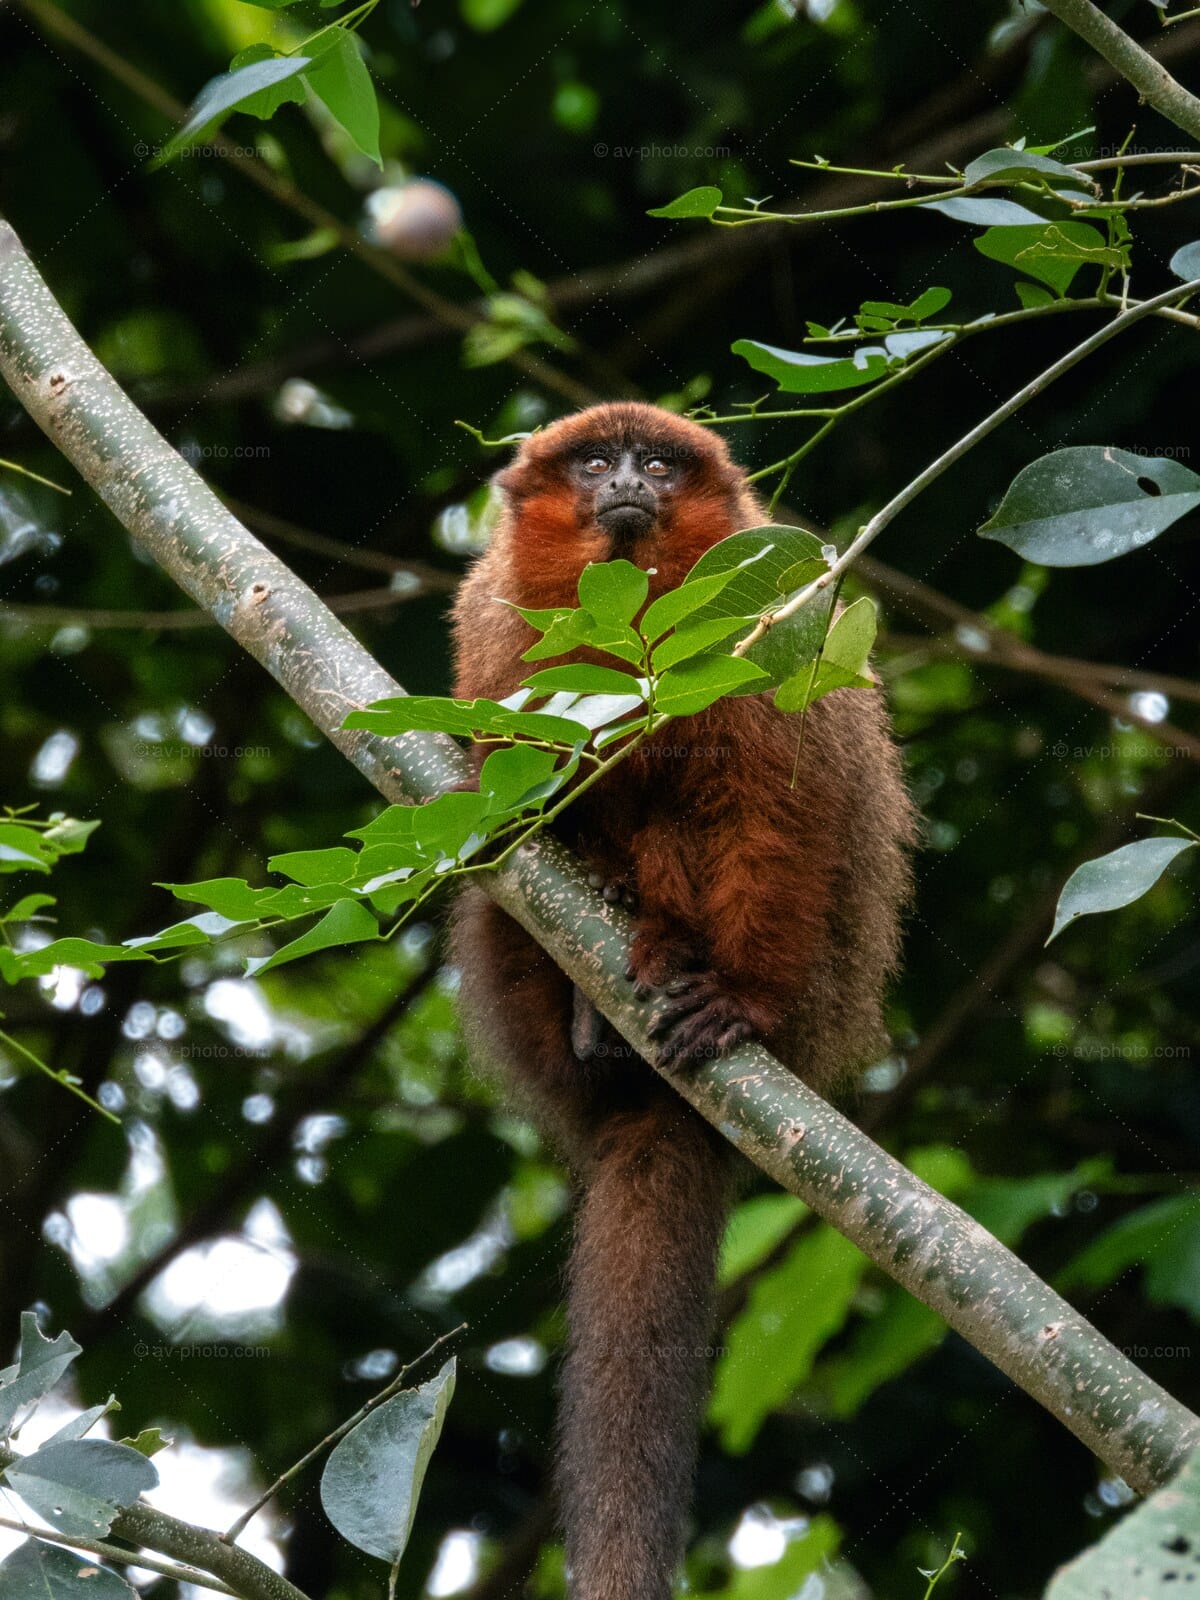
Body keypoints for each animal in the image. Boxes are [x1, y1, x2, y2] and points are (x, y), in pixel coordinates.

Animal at [448, 402, 914, 1600]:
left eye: (658, 463)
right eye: (593, 463)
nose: (627, 481)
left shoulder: (766, 628)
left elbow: (780, 799)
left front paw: (739, 998)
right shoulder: (495, 618)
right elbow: (501, 764)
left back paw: (685, 969)